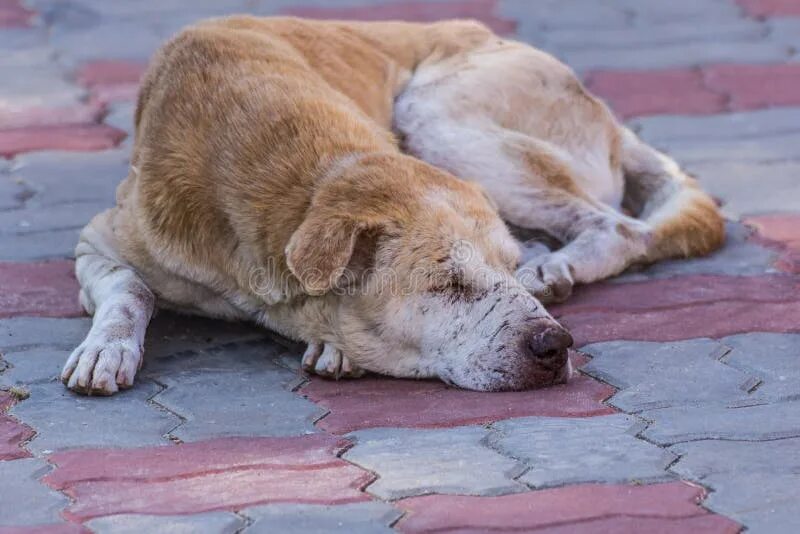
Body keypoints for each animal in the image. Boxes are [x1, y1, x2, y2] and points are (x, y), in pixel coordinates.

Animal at [61, 15, 724, 398]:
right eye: (447, 284)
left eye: (503, 271)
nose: (555, 347)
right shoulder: (101, 240)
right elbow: (131, 289)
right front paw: (107, 348)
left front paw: (334, 347)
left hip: (433, 109)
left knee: (621, 225)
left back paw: (556, 263)